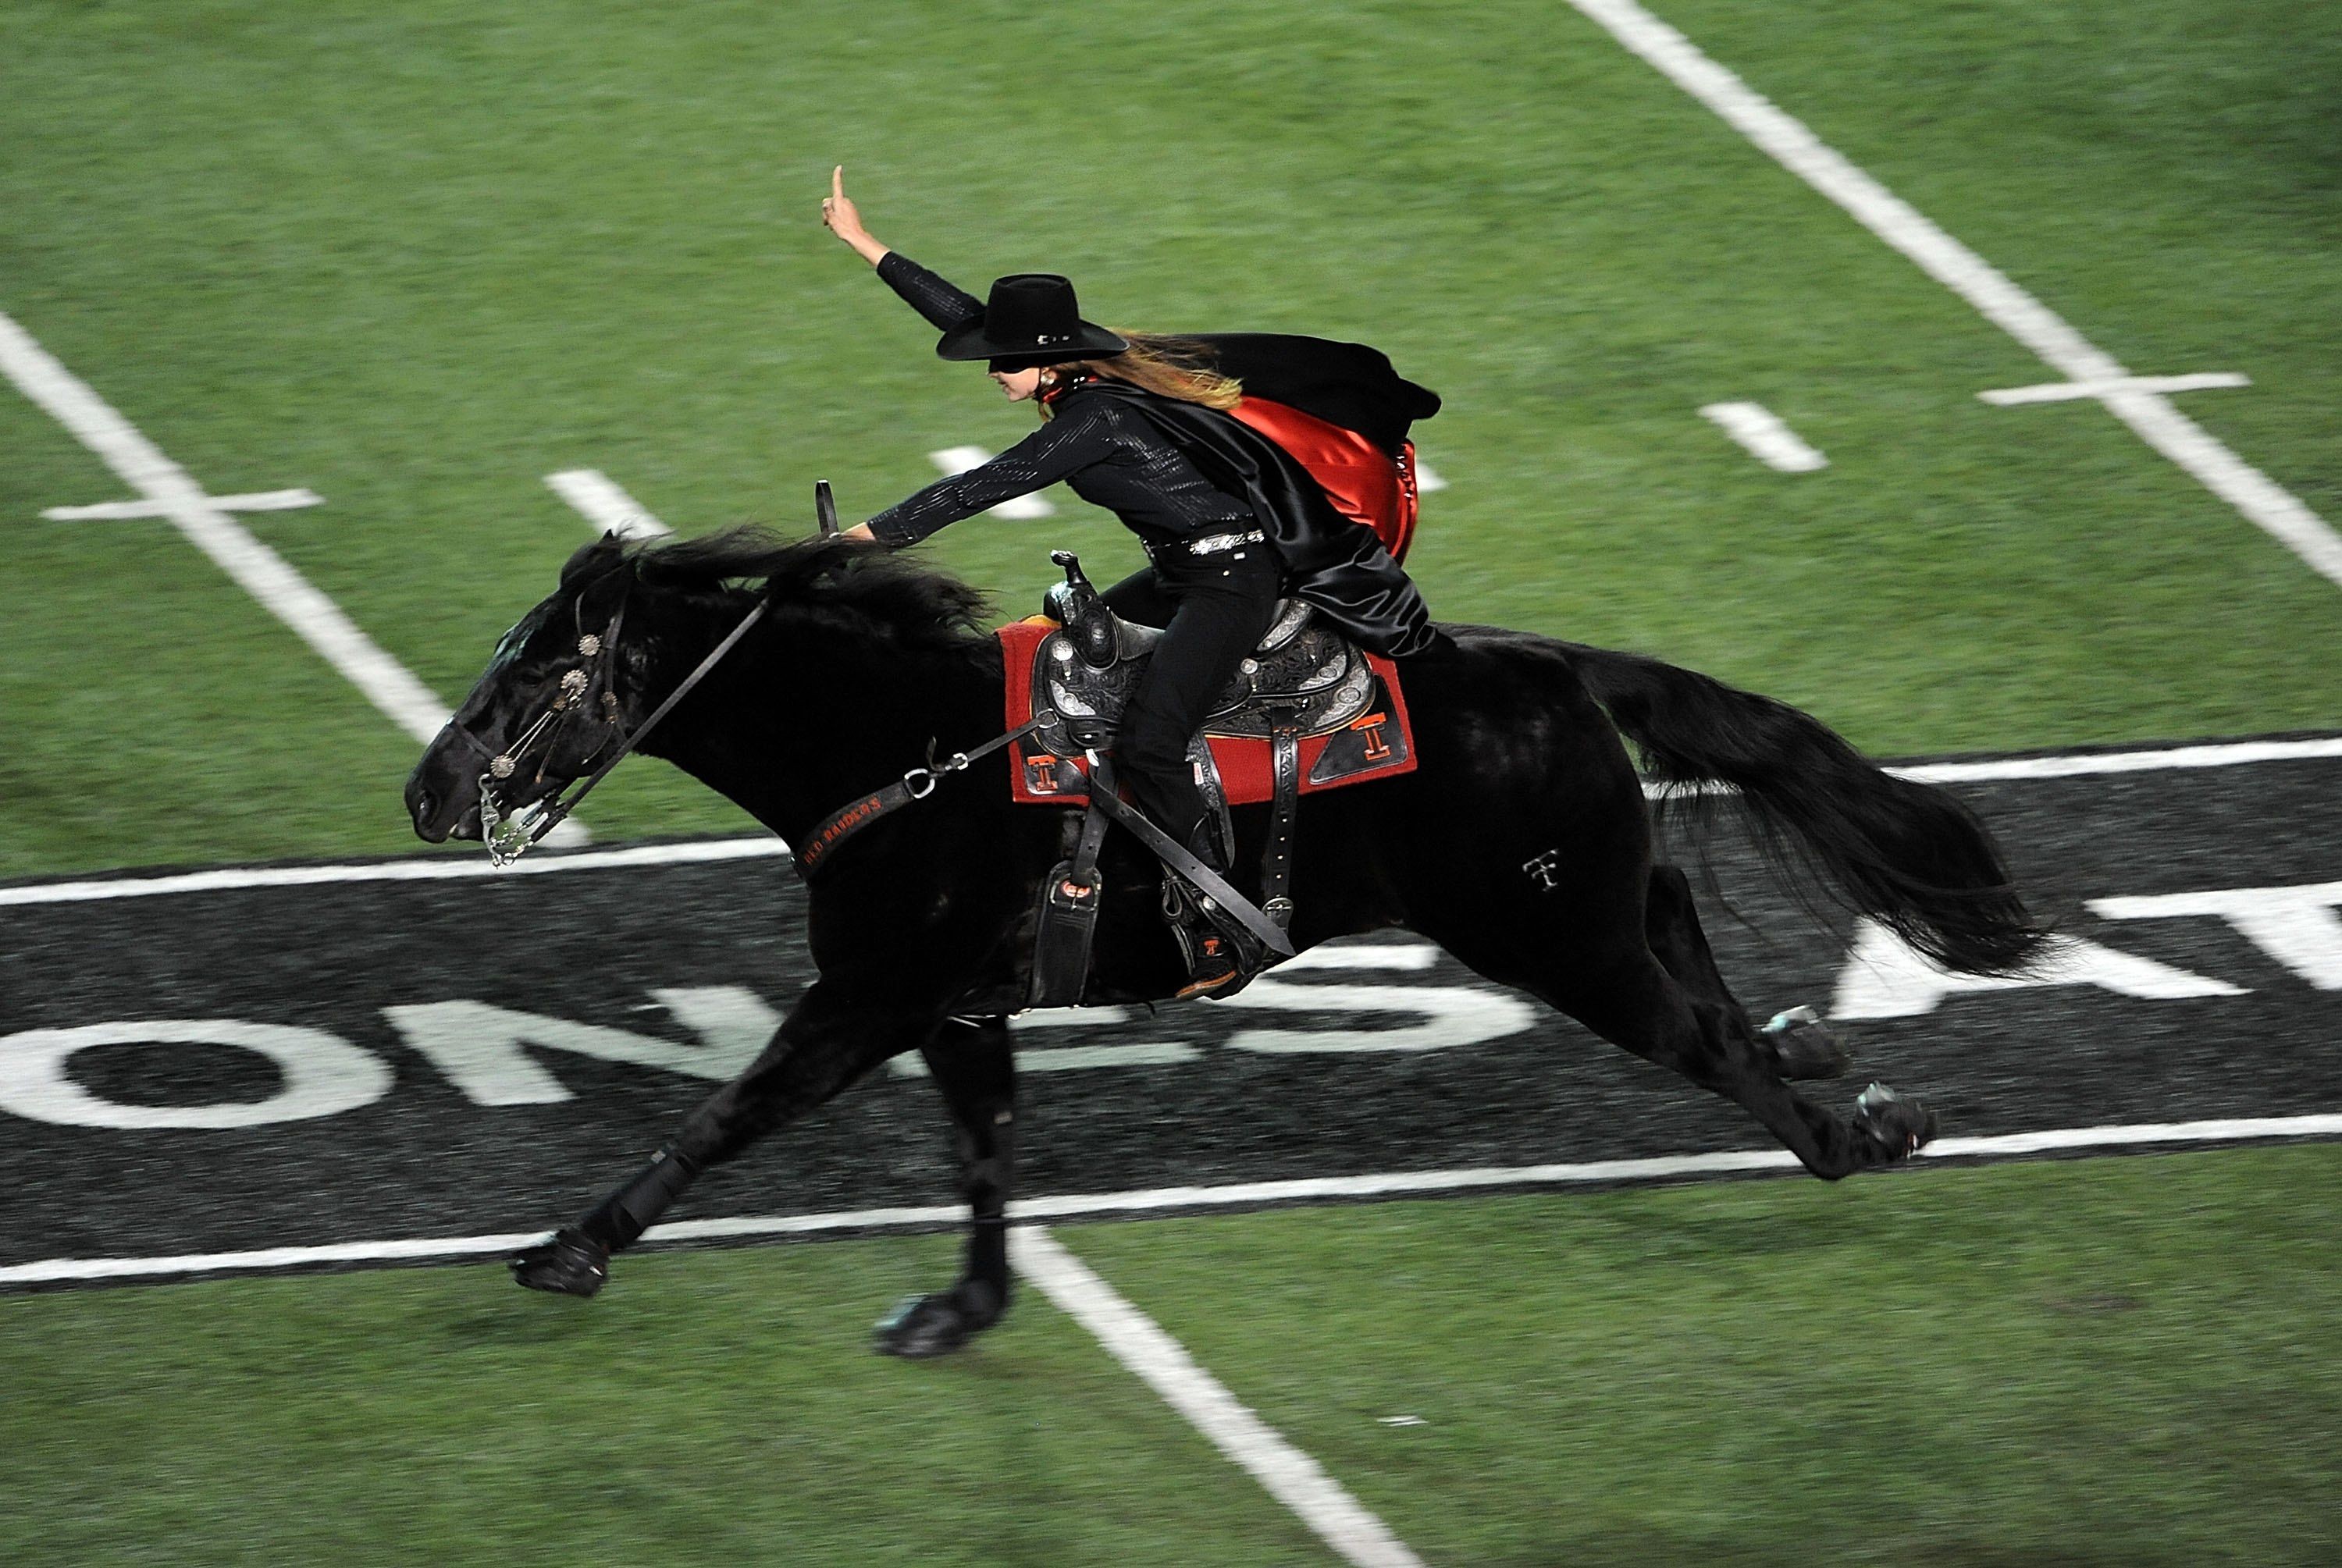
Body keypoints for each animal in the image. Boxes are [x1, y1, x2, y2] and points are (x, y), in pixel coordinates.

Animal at [404, 527, 2043, 1357]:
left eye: (536, 676)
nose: (425, 791)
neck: (907, 749)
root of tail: (1555, 663)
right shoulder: (957, 1006)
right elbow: (986, 1151)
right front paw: (963, 1308)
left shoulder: (872, 993)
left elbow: (730, 1113)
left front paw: (569, 1246)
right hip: (1602, 910)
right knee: (1715, 985)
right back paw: (1832, 1060)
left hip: (1565, 941)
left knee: (1708, 1043)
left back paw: (1857, 1128)